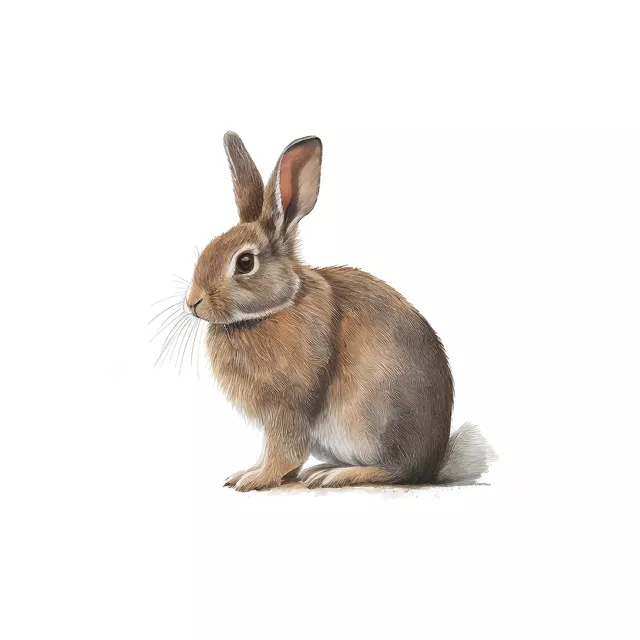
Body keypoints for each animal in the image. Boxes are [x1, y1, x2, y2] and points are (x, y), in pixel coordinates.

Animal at [185, 132, 495, 491]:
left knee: (396, 471)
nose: (192, 302)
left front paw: (256, 479)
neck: (274, 308)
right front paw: (245, 473)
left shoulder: (289, 407)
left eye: (245, 262)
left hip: (371, 421)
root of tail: (432, 465)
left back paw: (337, 474)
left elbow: (284, 450)